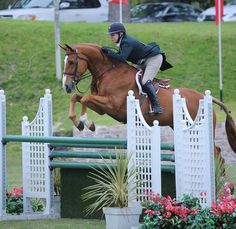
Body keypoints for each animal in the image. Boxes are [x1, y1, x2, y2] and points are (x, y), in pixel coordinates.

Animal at [60, 43, 236, 158]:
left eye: (72, 62)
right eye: (65, 62)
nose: (66, 86)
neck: (108, 71)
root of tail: (206, 98)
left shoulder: (112, 105)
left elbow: (85, 98)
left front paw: (86, 122)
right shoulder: (103, 108)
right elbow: (77, 98)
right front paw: (79, 122)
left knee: (216, 151)